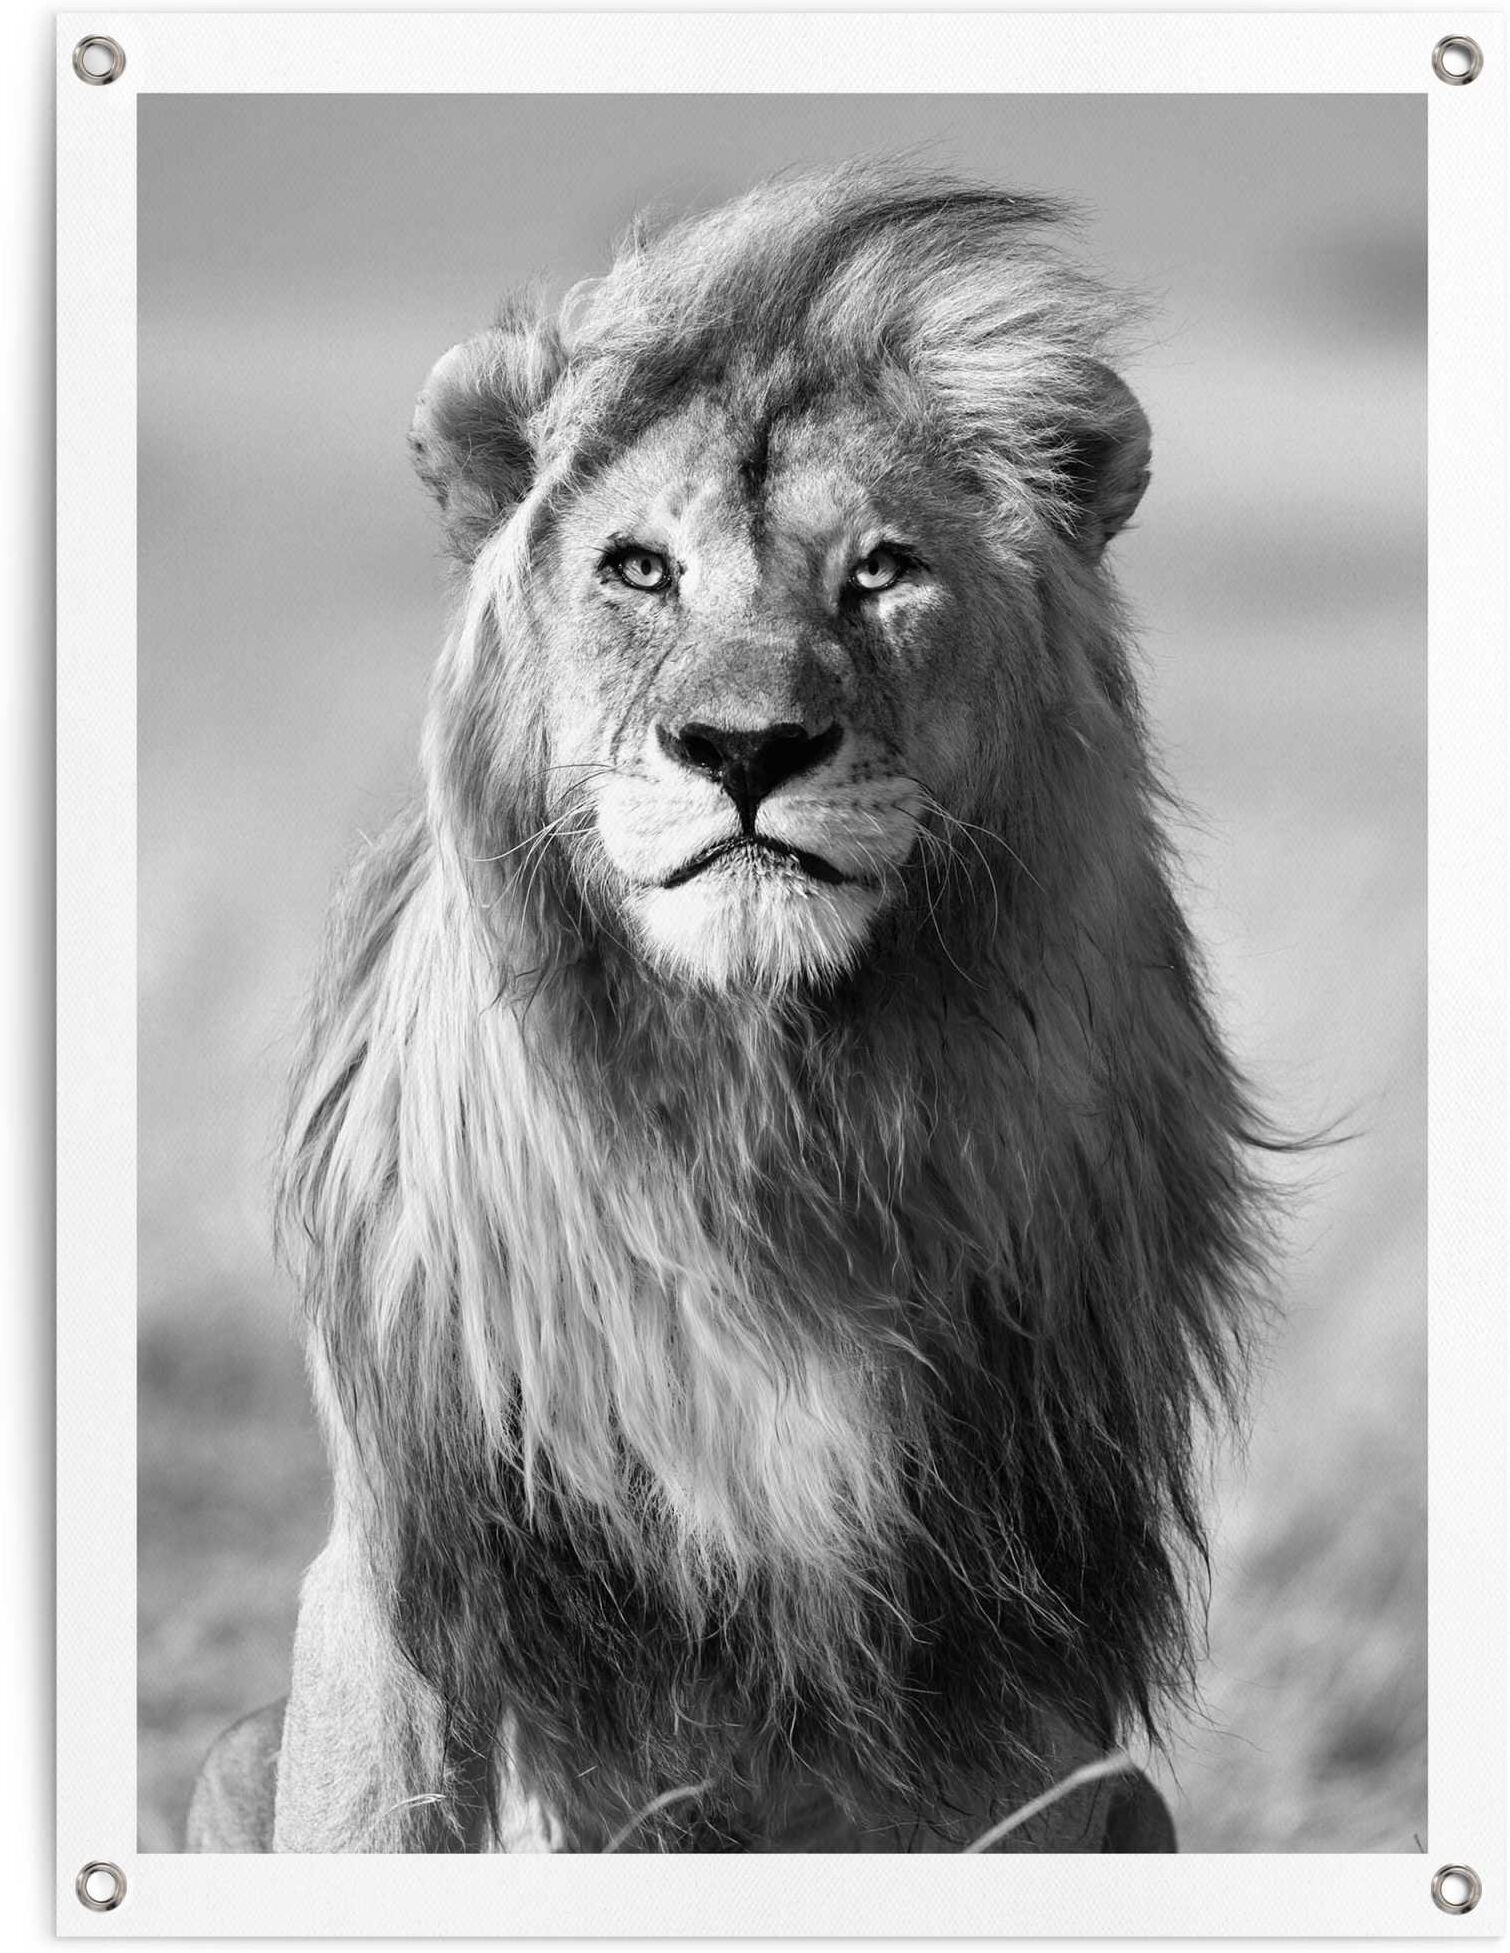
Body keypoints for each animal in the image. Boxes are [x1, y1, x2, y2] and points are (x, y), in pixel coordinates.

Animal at [187, 164, 1263, 1854]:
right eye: (639, 568)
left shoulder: (1006, 1625)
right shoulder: (420, 1552)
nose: (744, 747)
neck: (759, 1110)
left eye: (879, 570)